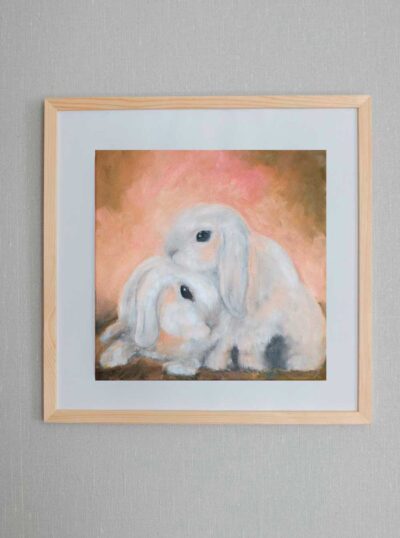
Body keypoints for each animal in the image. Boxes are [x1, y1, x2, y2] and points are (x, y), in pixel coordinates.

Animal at [99, 256, 228, 376]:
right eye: (185, 291)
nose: (213, 323)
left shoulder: (200, 349)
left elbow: (196, 357)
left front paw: (178, 367)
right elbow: (128, 342)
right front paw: (110, 359)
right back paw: (107, 335)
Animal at [164, 203, 325, 372]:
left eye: (202, 235)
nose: (170, 251)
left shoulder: (256, 321)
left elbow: (241, 345)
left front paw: (244, 366)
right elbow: (221, 344)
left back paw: (297, 364)